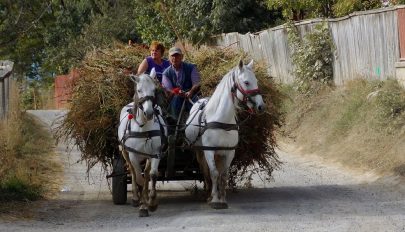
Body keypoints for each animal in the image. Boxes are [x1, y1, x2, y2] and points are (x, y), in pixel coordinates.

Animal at [117, 68, 166, 217]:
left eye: (154, 89)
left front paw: (152, 203)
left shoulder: (156, 153)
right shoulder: (133, 154)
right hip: (125, 152)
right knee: (133, 172)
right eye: (139, 90)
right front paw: (143, 205)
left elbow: (152, 175)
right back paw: (135, 197)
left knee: (147, 173)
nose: (149, 112)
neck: (144, 128)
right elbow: (139, 177)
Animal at [184, 59, 266, 208]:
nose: (261, 106)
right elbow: (214, 173)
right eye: (246, 82)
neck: (222, 121)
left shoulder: (229, 152)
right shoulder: (209, 150)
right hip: (200, 150)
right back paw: (208, 193)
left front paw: (222, 198)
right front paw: (215, 199)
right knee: (205, 170)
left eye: (256, 81)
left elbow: (224, 175)